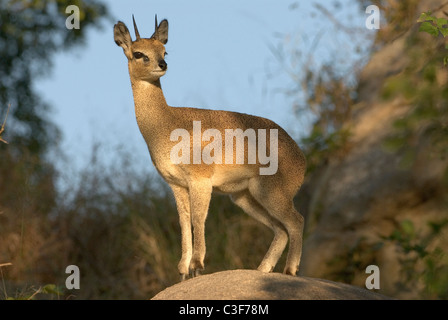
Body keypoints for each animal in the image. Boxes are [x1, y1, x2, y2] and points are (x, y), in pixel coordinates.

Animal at [114, 15, 306, 280]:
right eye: (138, 53)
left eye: (164, 50)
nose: (162, 65)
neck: (166, 124)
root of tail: (302, 158)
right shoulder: (176, 184)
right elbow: (184, 222)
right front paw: (183, 270)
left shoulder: (200, 181)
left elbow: (198, 219)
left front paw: (197, 265)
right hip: (245, 196)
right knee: (281, 230)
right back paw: (261, 270)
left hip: (272, 193)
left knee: (296, 221)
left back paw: (290, 271)